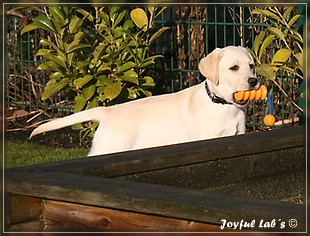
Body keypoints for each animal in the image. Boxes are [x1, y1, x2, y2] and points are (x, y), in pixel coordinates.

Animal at [31, 46, 260, 157]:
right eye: (234, 68)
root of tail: (107, 111)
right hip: (110, 147)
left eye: (251, 66)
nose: (254, 81)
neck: (223, 104)